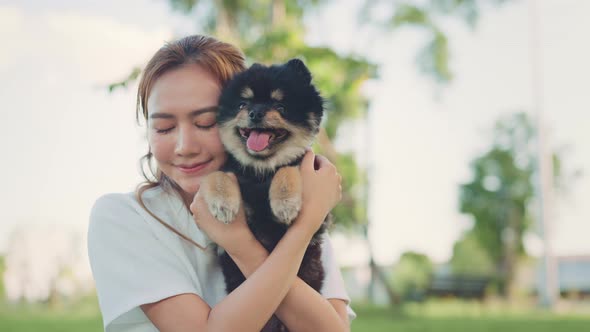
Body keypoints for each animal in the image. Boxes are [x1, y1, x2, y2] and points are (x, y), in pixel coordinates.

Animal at [200, 58, 330, 330]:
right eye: (243, 104)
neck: (259, 173)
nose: (255, 112)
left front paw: (285, 204)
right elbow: (215, 175)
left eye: (280, 106)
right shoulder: (231, 170)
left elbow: (288, 168)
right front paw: (223, 204)